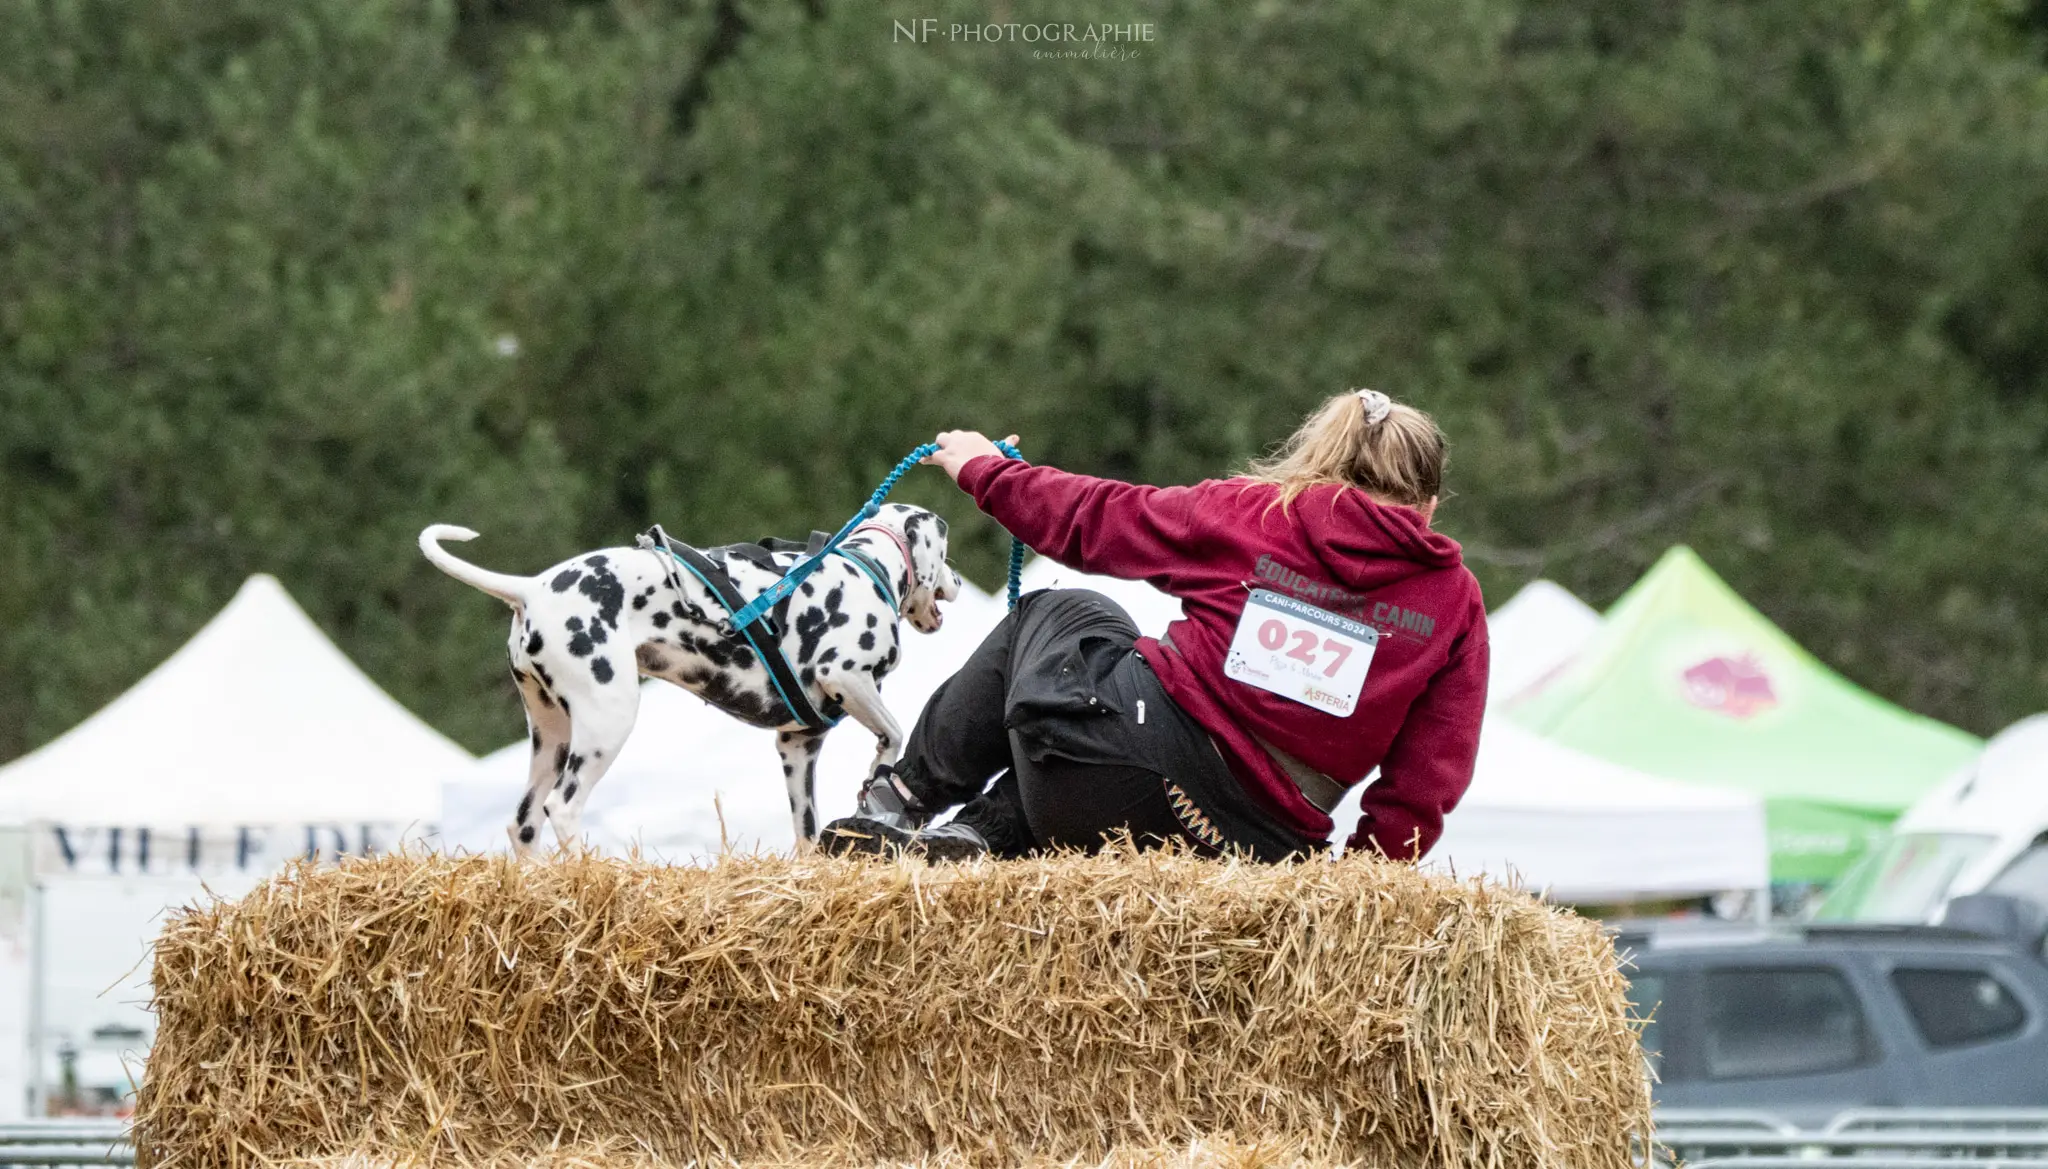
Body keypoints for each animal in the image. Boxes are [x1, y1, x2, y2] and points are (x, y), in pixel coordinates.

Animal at [419, 505, 962, 859]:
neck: (867, 567)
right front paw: (880, 773)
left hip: (552, 740)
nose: (956, 580)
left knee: (525, 825)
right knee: (564, 809)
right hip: (605, 725)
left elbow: (806, 834)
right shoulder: (846, 677)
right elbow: (893, 733)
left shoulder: (798, 748)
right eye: (947, 551)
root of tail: (531, 588)